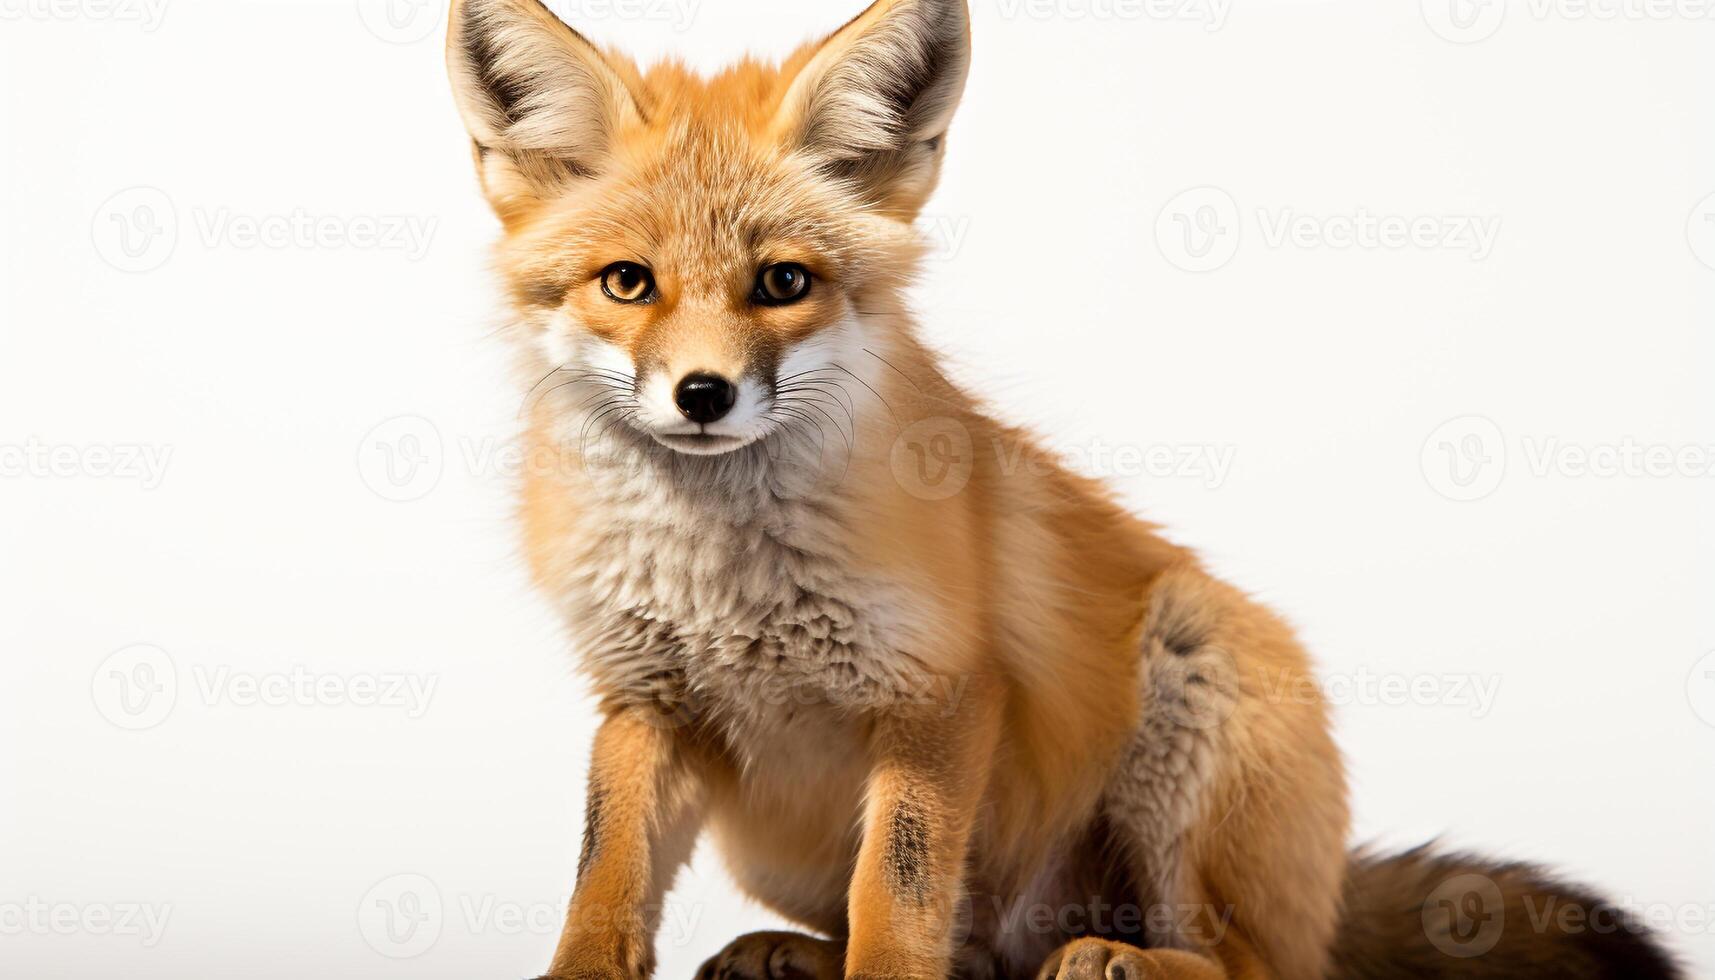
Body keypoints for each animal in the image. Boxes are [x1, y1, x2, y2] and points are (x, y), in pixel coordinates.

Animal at [445, 3, 1687, 974]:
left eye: (782, 283)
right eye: (627, 283)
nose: (702, 394)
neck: (722, 580)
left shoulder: (941, 694)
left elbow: (895, 900)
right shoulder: (642, 701)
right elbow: (603, 881)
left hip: (1191, 685)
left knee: (1252, 964)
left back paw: (1118, 957)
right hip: (780, 845)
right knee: (967, 953)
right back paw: (790, 952)